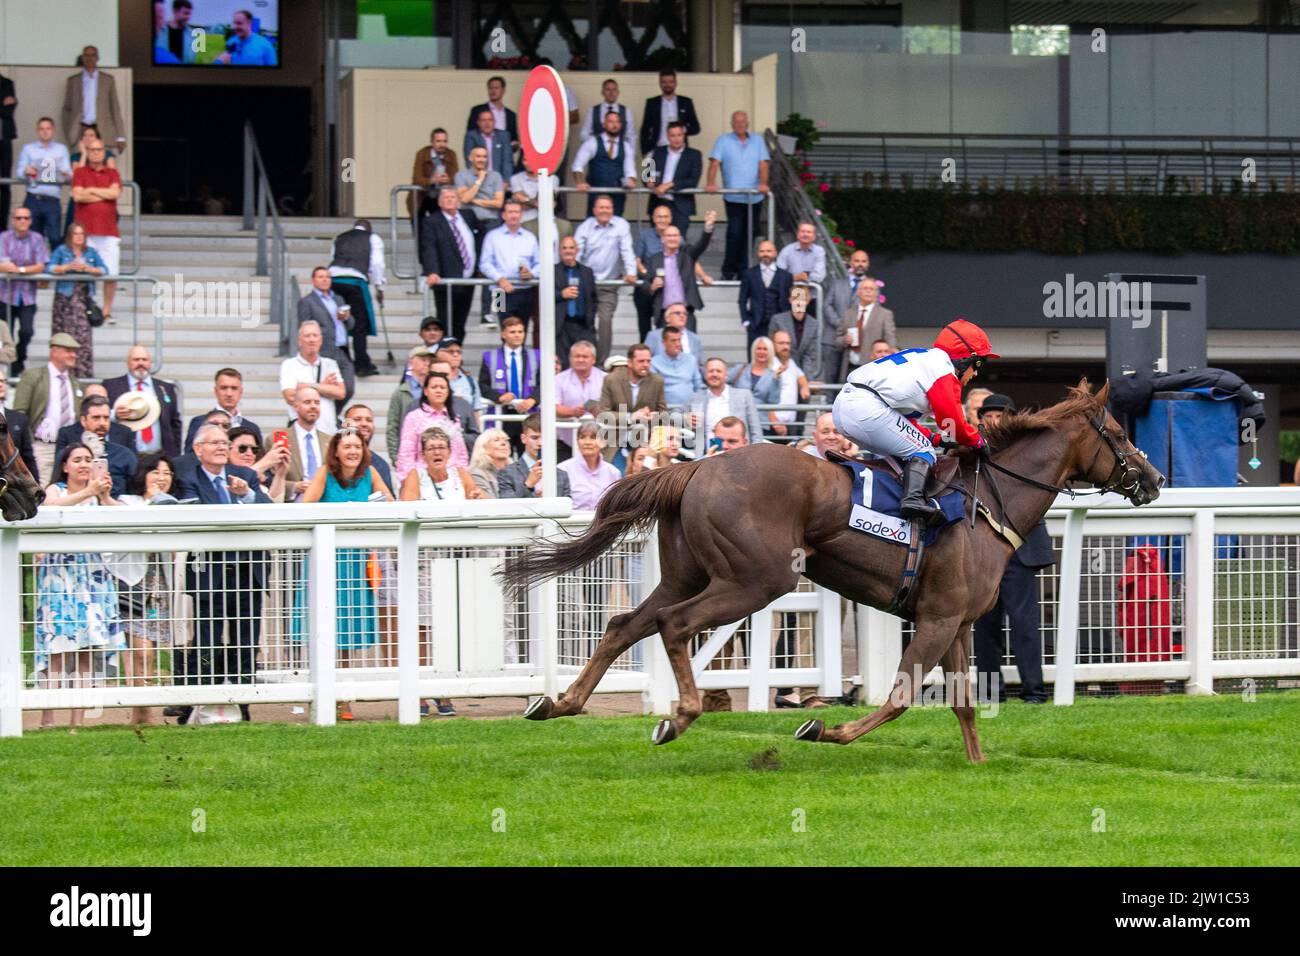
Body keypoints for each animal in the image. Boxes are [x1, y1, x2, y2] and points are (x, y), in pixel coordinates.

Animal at [501, 382, 1164, 764]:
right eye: (1119, 432)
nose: (1154, 479)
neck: (987, 504)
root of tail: (696, 468)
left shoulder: (957, 621)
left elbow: (964, 705)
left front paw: (977, 767)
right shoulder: (936, 617)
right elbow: (900, 695)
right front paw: (822, 728)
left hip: (687, 571)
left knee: (624, 623)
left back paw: (559, 703)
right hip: (753, 579)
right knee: (674, 624)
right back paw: (679, 716)